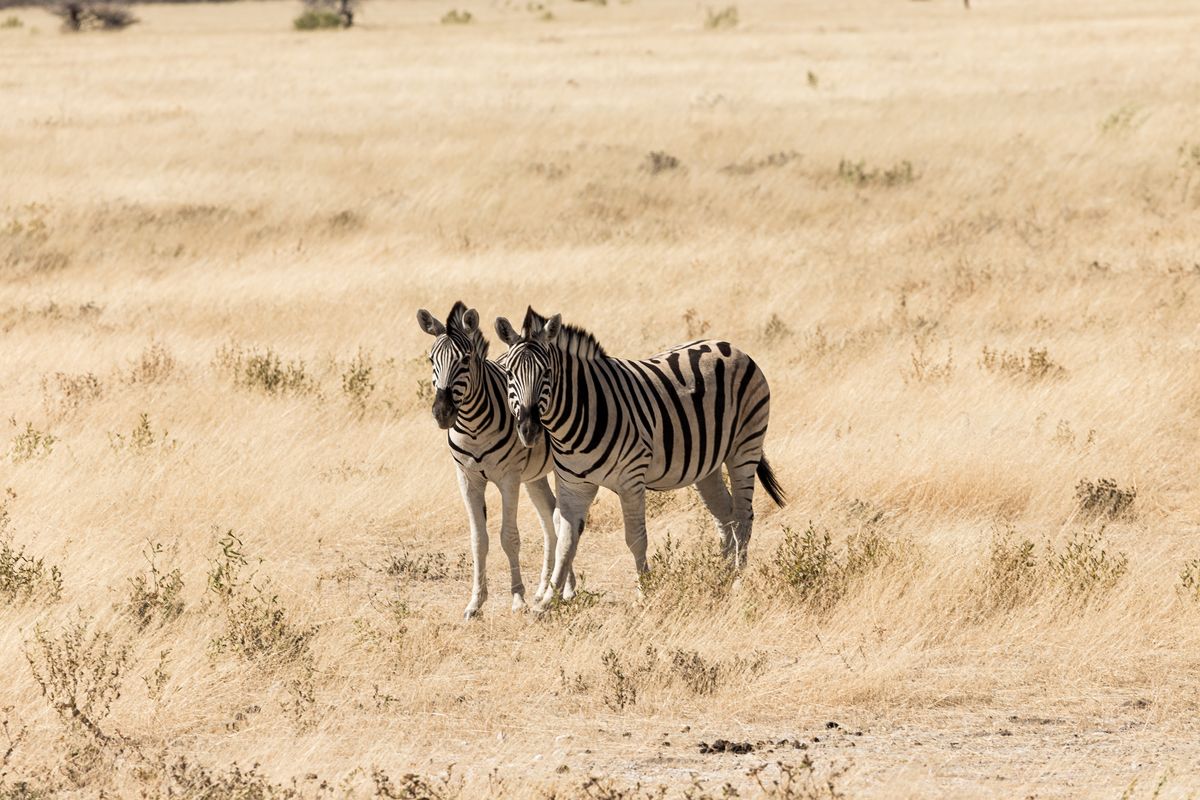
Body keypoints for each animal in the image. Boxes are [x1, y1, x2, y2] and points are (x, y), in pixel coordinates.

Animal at [417, 301, 575, 619]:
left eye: (466, 359)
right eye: (430, 360)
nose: (442, 413)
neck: (473, 427)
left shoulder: (508, 479)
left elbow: (508, 537)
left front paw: (517, 599)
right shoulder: (467, 479)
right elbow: (479, 540)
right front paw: (475, 603)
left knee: (560, 518)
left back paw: (566, 590)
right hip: (535, 475)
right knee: (549, 518)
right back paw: (547, 588)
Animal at [494, 307, 786, 609]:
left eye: (548, 372)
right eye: (509, 374)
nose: (529, 430)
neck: (579, 412)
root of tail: (730, 346)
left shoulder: (630, 479)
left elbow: (635, 539)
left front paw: (645, 592)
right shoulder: (573, 485)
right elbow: (565, 540)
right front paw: (548, 601)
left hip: (745, 448)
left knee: (743, 516)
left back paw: (738, 581)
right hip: (707, 465)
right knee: (724, 514)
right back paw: (722, 577)